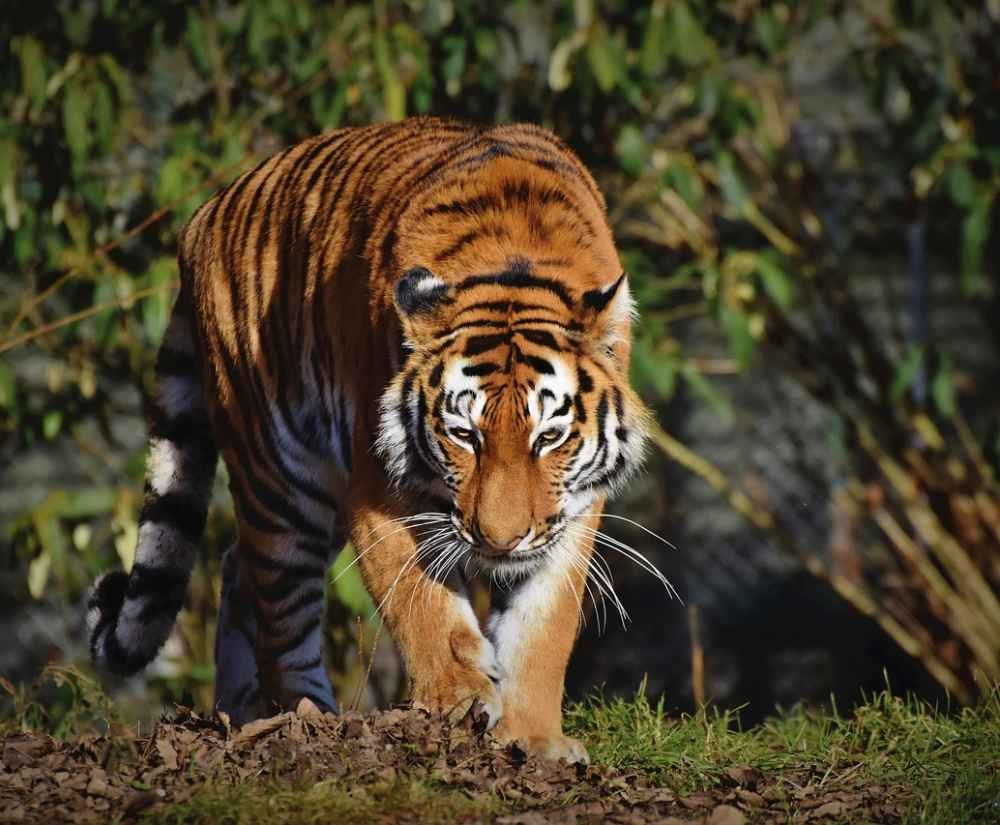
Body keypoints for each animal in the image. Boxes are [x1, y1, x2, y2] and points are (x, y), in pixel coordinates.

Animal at [86, 117, 650, 763]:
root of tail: (200, 217)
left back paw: (242, 711)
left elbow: (543, 628)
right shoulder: (377, 487)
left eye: (549, 437)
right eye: (464, 435)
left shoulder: (571, 511)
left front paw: (535, 740)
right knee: (278, 608)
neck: (515, 260)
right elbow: (423, 604)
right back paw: (308, 719)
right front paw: (457, 701)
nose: (499, 541)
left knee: (236, 567)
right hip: (282, 479)